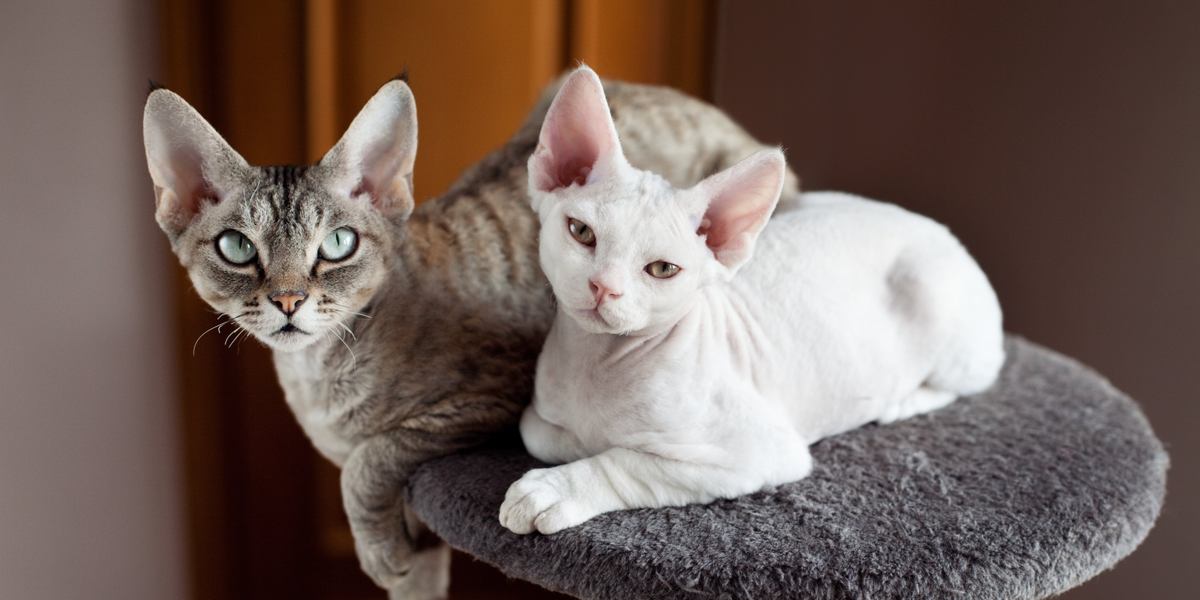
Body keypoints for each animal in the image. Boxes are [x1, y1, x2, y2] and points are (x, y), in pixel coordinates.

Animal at [142, 71, 796, 595]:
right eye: (236, 248)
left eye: (337, 245)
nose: (287, 300)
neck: (318, 378)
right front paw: (388, 556)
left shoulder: (491, 397)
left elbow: (370, 460)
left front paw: (375, 549)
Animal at [496, 68, 1003, 537]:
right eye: (582, 232)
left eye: (662, 270)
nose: (604, 287)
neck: (597, 363)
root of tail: (939, 230)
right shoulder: (539, 415)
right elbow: (541, 433)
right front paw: (583, 444)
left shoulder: (757, 452)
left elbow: (629, 462)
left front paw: (555, 487)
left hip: (939, 306)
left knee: (968, 379)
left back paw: (901, 400)